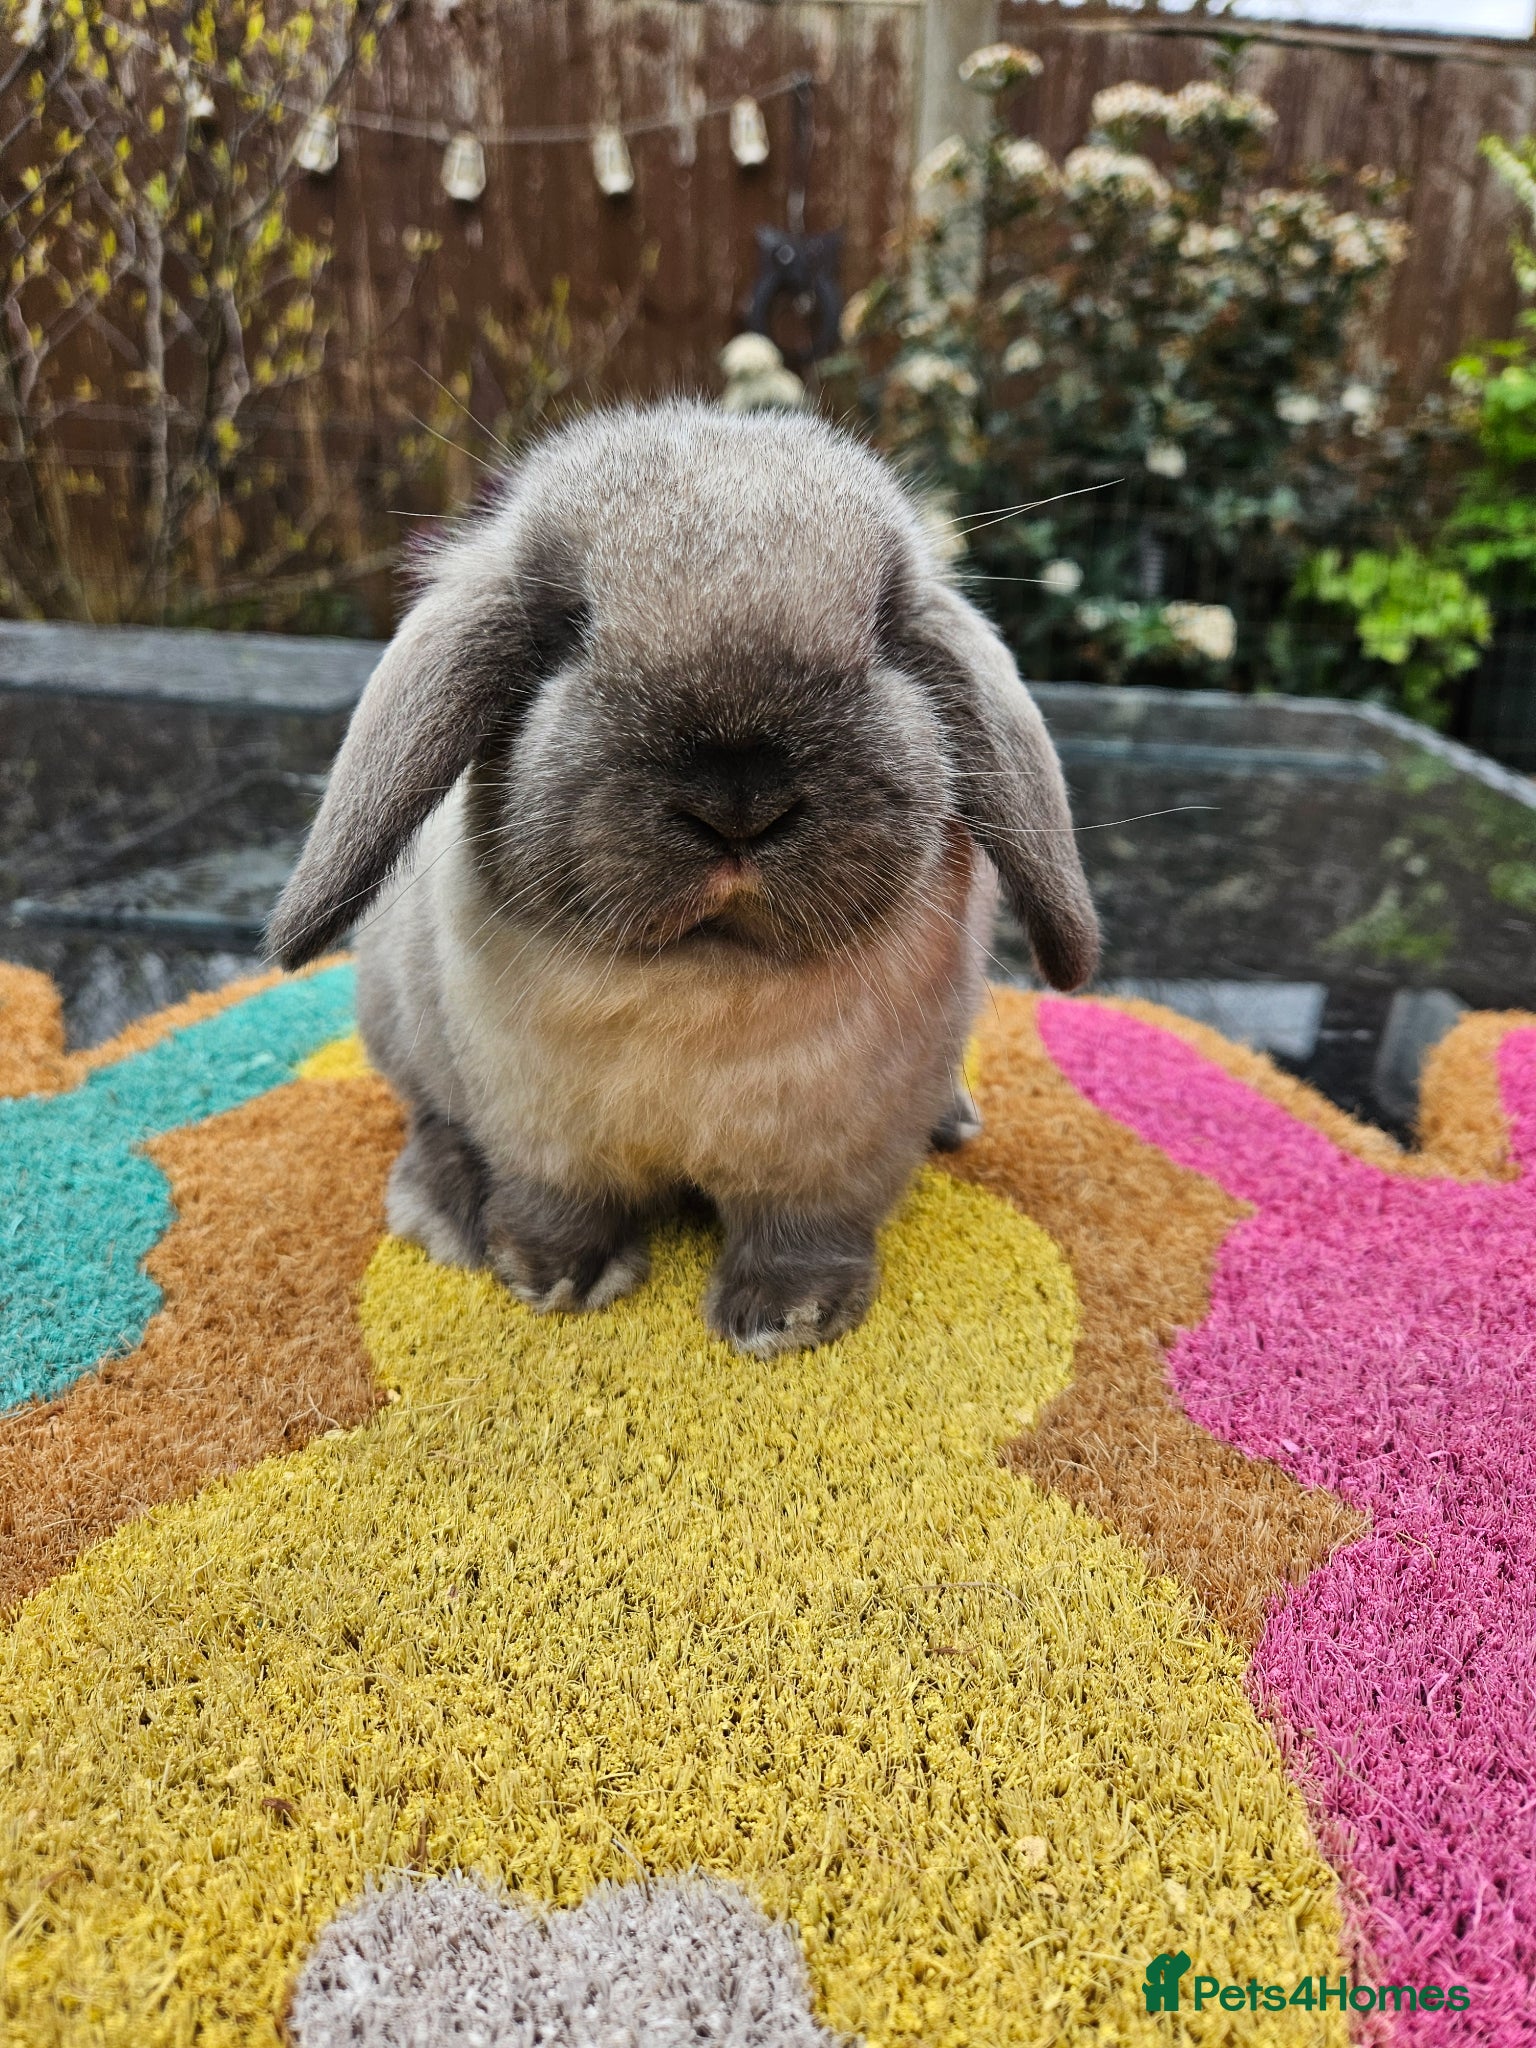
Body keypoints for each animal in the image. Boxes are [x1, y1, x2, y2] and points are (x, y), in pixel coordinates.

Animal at [266, 401, 1098, 1356]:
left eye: (887, 628)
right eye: (563, 626)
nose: (739, 801)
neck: (704, 974)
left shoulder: (835, 1160)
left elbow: (805, 1233)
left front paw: (784, 1321)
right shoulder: (542, 1134)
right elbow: (559, 1204)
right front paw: (551, 1278)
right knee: (429, 1115)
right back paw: (447, 1212)